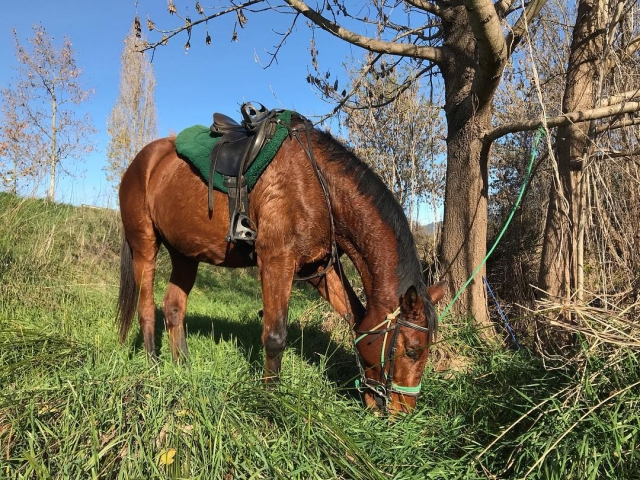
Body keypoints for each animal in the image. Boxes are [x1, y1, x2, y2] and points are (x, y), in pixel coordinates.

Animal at [116, 112, 446, 413]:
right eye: (412, 351)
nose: (403, 412)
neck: (319, 185)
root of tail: (141, 163)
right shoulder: (276, 261)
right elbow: (275, 337)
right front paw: (271, 401)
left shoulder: (318, 269)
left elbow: (355, 319)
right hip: (144, 246)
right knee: (147, 310)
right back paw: (153, 368)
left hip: (185, 255)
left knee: (173, 308)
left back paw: (183, 367)